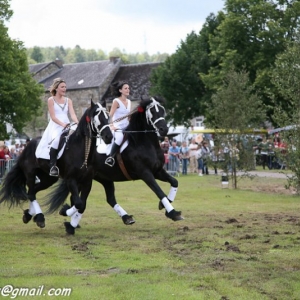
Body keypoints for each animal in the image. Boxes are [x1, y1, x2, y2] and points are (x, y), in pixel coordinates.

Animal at [0, 99, 112, 229]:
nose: (109, 137)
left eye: (107, 116)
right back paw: (39, 218)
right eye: (96, 117)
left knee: (33, 192)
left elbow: (82, 205)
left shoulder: (87, 181)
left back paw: (30, 215)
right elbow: (78, 203)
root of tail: (27, 146)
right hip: (30, 174)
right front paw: (64, 211)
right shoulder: (70, 179)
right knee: (31, 194)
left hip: (48, 178)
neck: (81, 150)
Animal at [45, 96, 183, 234]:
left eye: (162, 110)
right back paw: (69, 217)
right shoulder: (145, 173)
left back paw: (124, 218)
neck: (143, 142)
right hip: (82, 178)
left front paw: (164, 204)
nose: (164, 130)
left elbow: (174, 182)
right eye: (152, 111)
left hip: (103, 178)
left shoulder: (158, 171)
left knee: (108, 199)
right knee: (78, 200)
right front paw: (173, 213)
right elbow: (159, 191)